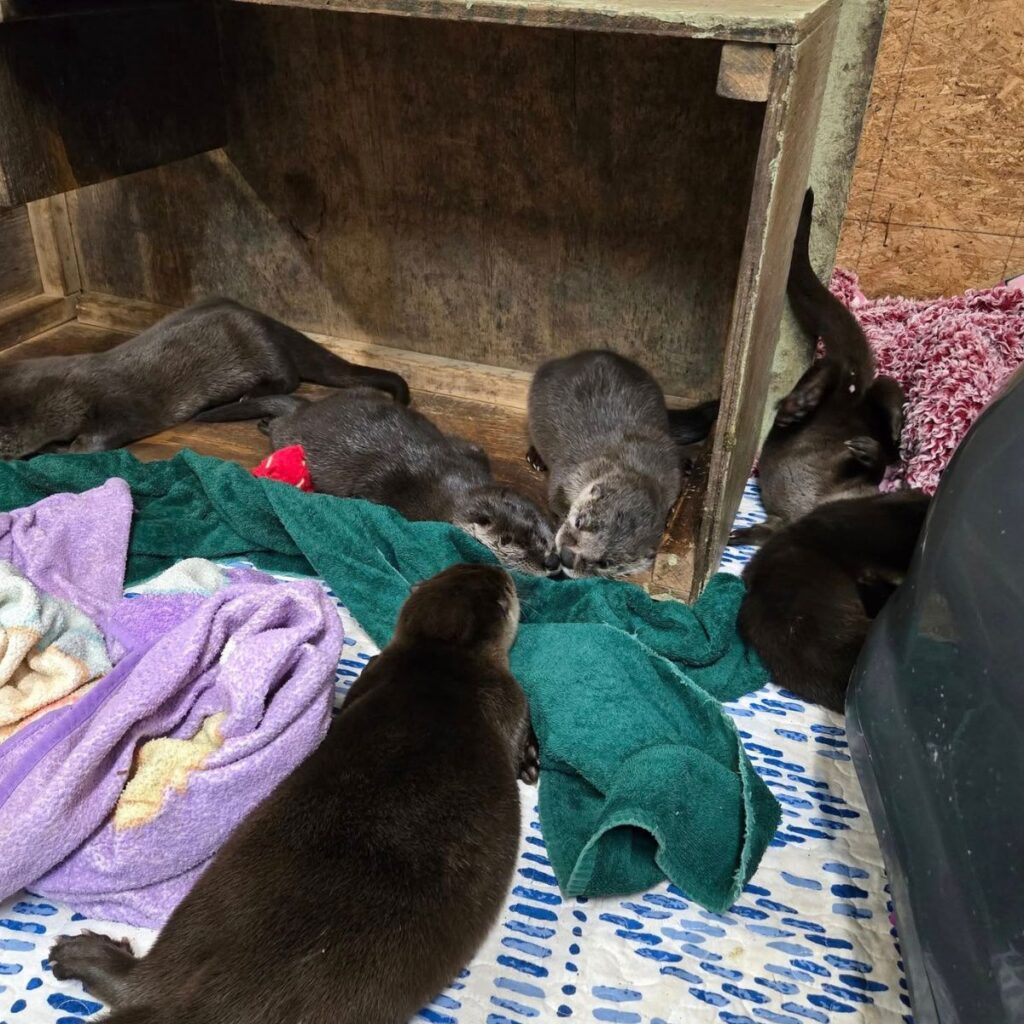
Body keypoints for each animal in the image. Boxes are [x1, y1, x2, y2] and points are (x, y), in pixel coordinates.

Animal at [0, 298, 409, 460]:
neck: (73, 391)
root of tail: (264, 319)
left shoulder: (119, 403)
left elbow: (97, 441)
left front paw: (56, 450)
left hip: (259, 345)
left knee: (288, 377)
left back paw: (248, 395)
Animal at [49, 563, 535, 1024]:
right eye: (499, 586)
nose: (500, 570)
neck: (439, 662)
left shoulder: (376, 669)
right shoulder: (508, 694)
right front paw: (529, 759)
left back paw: (80, 955)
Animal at [198, 389, 559, 576]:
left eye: (543, 533)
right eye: (508, 541)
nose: (550, 562)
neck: (453, 490)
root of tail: (307, 408)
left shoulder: (471, 454)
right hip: (293, 435)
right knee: (281, 427)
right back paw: (266, 423)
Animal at [527, 350, 715, 577]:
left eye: (605, 563)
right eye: (579, 521)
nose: (567, 557)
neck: (634, 464)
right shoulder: (570, 472)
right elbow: (555, 497)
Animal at [730, 189, 905, 547]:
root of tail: (854, 389)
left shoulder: (782, 524)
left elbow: (767, 530)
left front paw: (740, 534)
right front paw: (867, 451)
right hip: (850, 382)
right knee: (842, 373)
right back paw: (798, 406)